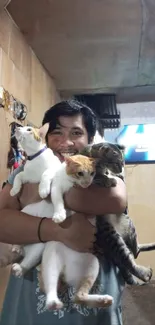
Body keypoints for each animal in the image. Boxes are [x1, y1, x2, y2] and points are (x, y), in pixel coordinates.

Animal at [80, 142, 155, 284]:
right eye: (116, 163)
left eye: (123, 163)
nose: (120, 170)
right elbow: (97, 177)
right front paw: (108, 179)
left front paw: (116, 177)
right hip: (111, 235)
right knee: (129, 258)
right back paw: (144, 273)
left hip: (129, 223)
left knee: (135, 251)